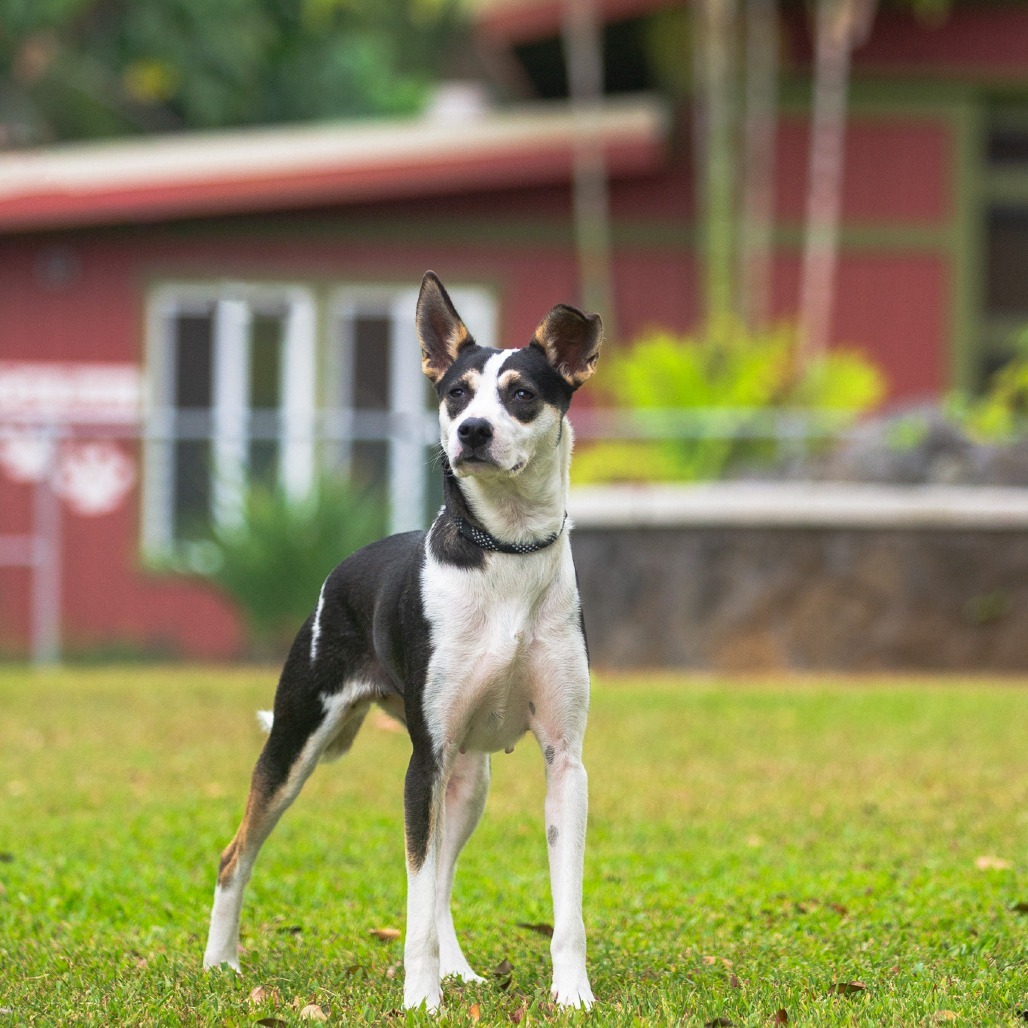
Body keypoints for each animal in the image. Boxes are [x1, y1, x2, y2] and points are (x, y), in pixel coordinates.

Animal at [202, 271, 600, 1011]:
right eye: (456, 394)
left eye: (522, 395)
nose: (471, 432)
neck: (504, 552)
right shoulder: (423, 764)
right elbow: (413, 904)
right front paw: (421, 1000)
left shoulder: (565, 763)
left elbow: (566, 911)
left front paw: (573, 996)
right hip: (298, 744)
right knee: (235, 855)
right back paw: (220, 963)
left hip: (466, 779)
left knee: (439, 882)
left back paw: (461, 971)